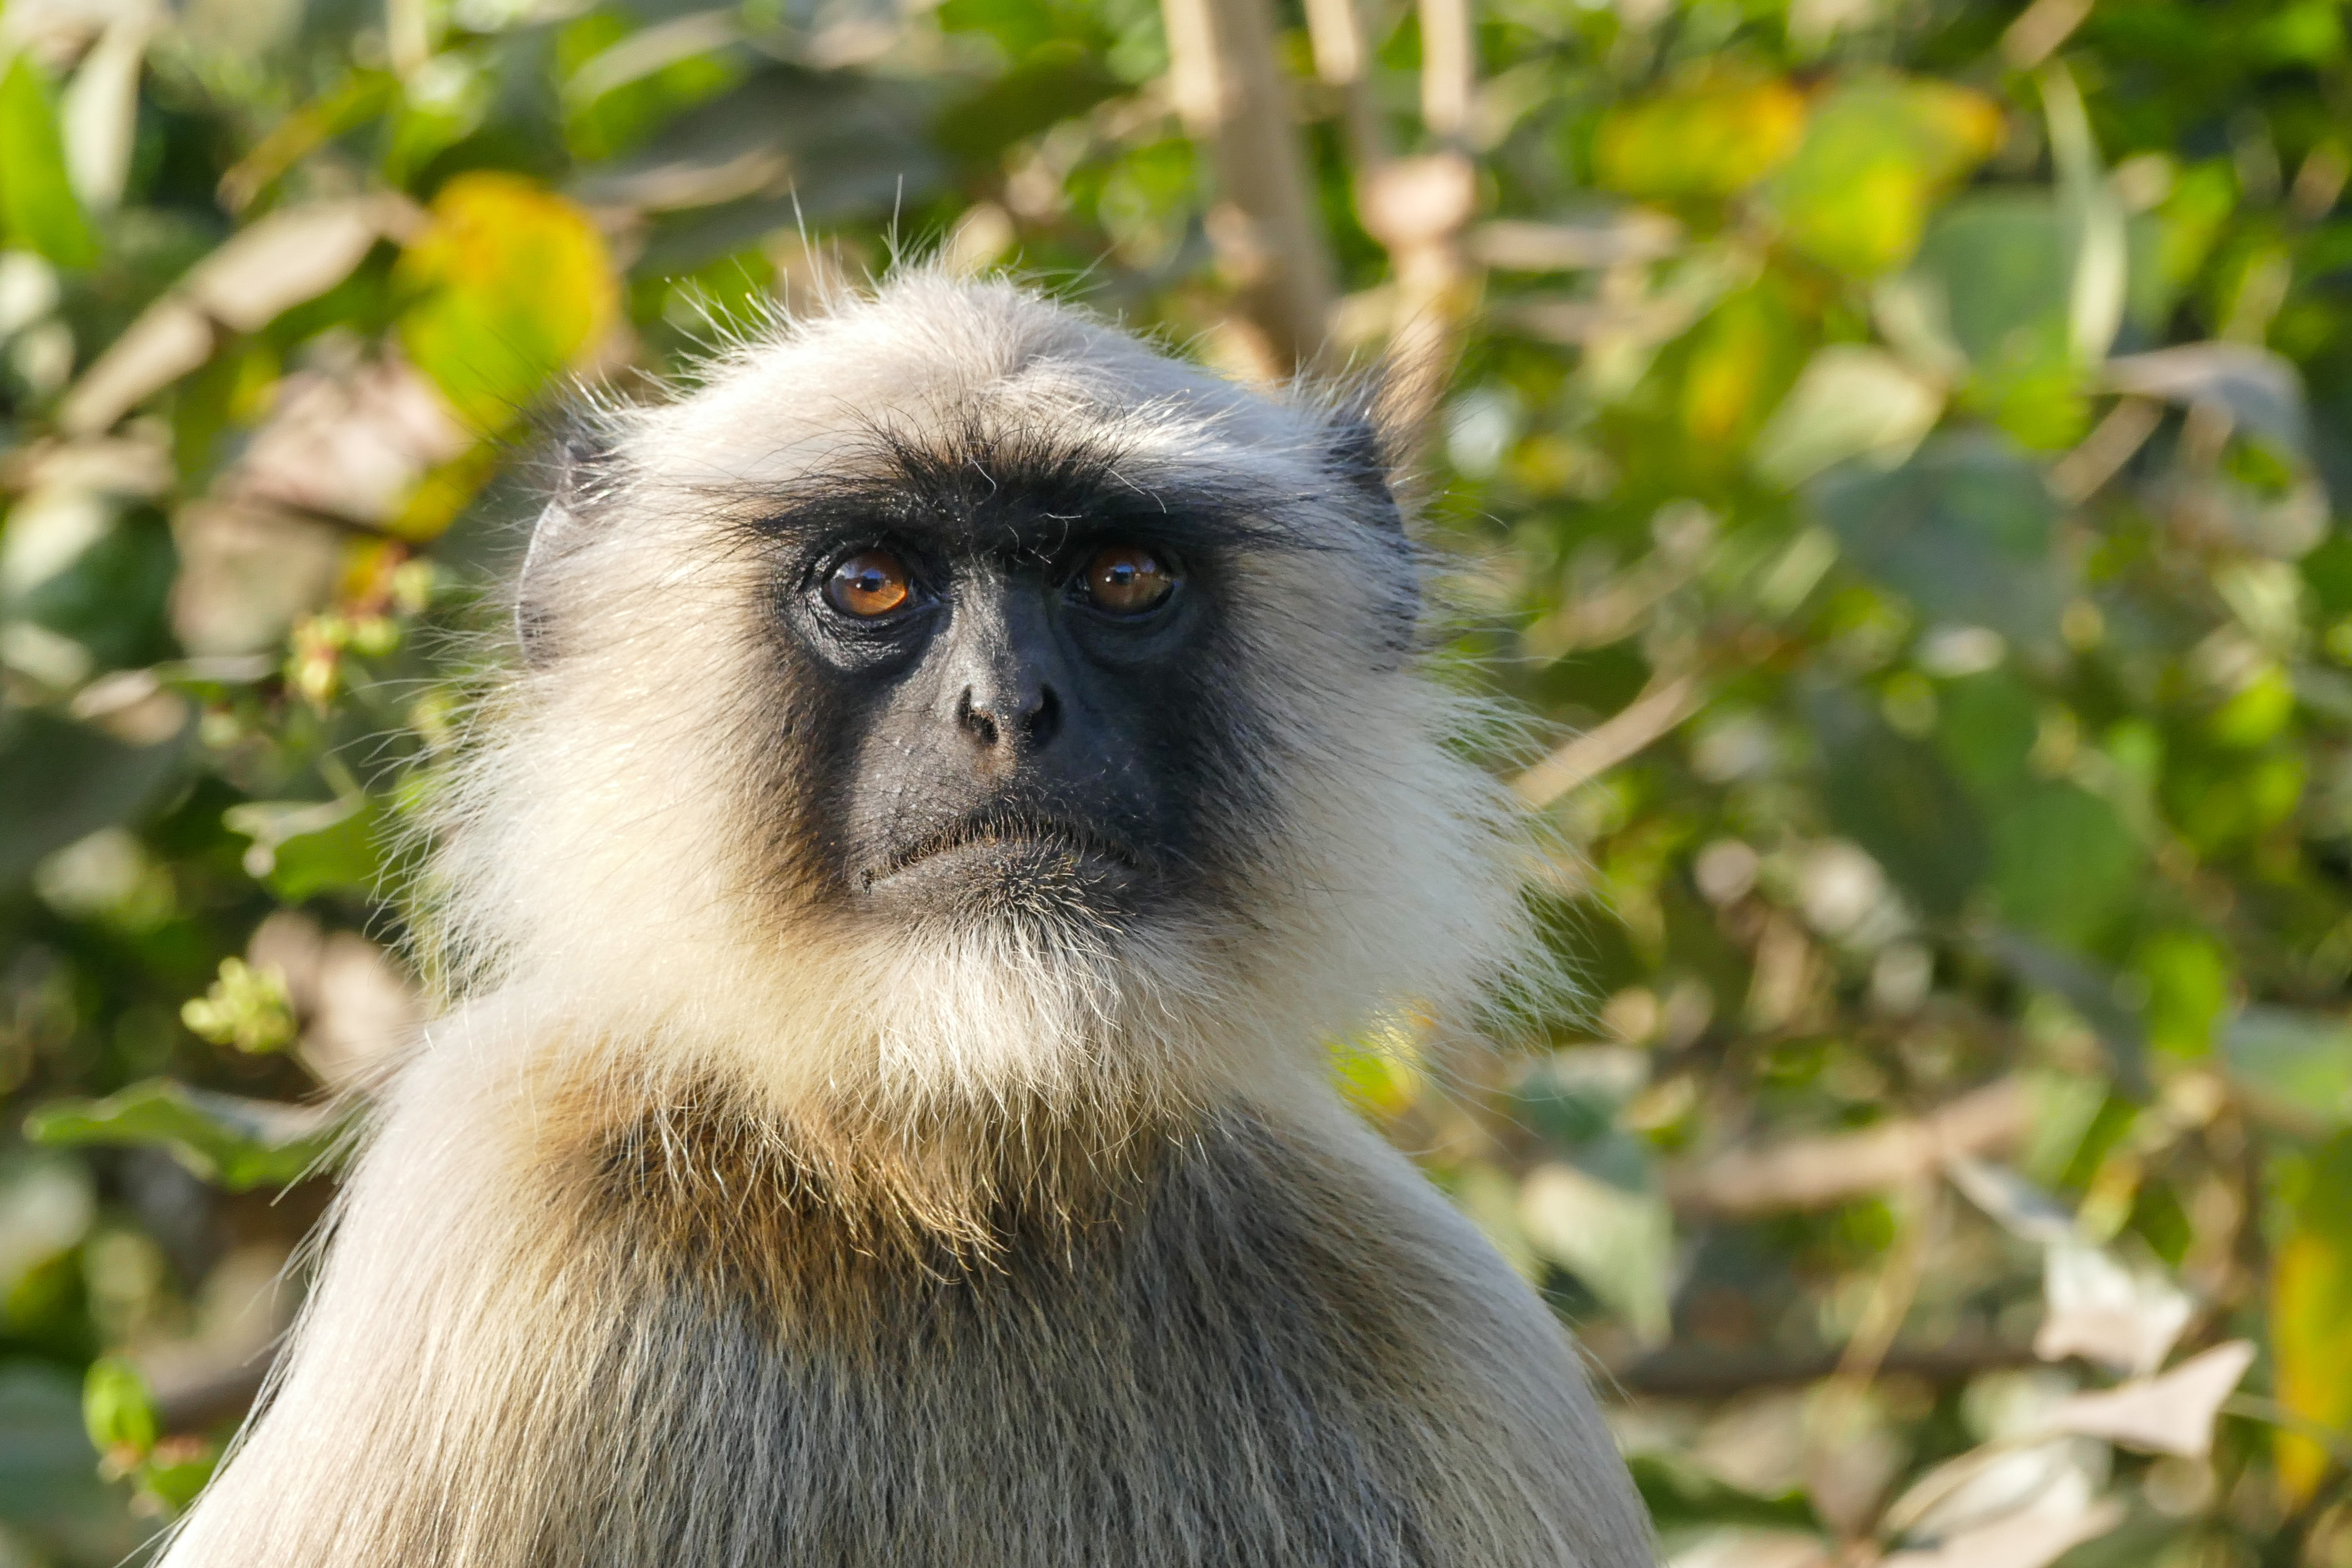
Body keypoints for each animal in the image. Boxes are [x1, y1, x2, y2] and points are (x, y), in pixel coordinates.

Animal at [158, 274, 1652, 1568]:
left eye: (1121, 578)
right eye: (870, 581)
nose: (1007, 710)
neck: (948, 1189)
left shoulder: (1452, 1332)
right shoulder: (501, 1190)